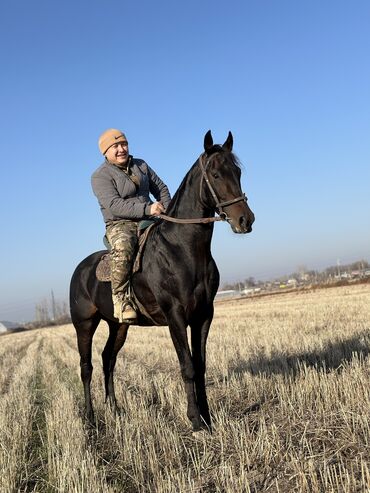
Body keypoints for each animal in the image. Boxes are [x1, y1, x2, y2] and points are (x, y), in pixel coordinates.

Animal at [69, 131, 254, 430]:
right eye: (215, 174)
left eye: (237, 172)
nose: (245, 220)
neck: (183, 249)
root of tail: (79, 270)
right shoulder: (175, 315)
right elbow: (187, 366)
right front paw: (195, 420)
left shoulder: (204, 314)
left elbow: (200, 366)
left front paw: (208, 417)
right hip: (84, 324)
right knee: (86, 367)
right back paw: (90, 417)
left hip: (118, 325)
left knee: (108, 359)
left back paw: (116, 409)